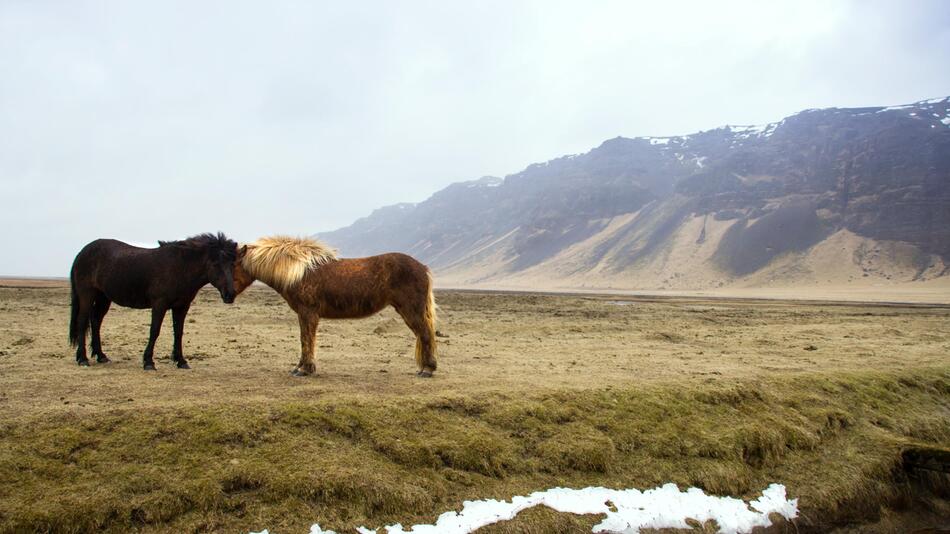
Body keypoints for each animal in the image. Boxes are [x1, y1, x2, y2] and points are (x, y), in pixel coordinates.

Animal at [70, 234, 240, 372]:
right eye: (215, 264)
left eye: (232, 264)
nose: (230, 294)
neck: (180, 268)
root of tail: (82, 253)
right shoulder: (159, 304)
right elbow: (154, 331)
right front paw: (148, 362)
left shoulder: (182, 306)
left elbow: (179, 332)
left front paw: (181, 361)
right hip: (87, 295)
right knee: (82, 321)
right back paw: (83, 359)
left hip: (104, 297)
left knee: (95, 321)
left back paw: (101, 356)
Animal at [232, 237, 440, 378]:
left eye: (234, 265)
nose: (228, 295)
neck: (300, 272)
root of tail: (423, 268)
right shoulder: (305, 314)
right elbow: (305, 340)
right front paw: (301, 367)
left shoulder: (308, 313)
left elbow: (306, 339)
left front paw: (304, 369)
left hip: (411, 310)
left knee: (425, 334)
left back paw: (427, 370)